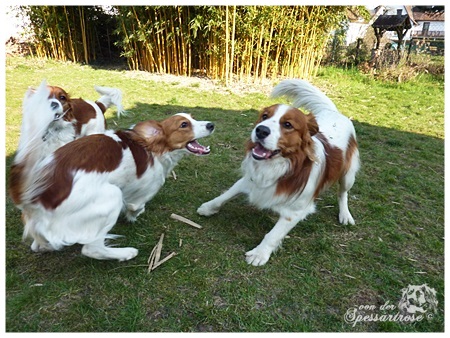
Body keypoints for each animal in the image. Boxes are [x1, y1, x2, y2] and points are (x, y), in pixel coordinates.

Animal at [9, 82, 214, 262]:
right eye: (184, 125)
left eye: (193, 118)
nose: (211, 124)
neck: (153, 148)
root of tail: (35, 197)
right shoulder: (144, 191)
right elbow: (135, 207)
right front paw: (134, 215)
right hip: (111, 195)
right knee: (92, 249)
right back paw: (126, 253)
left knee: (38, 244)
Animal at [199, 79, 360, 266]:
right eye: (264, 116)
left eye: (288, 125)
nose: (261, 130)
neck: (279, 165)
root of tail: (334, 112)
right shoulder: (250, 180)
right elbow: (225, 195)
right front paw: (209, 207)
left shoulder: (296, 211)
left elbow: (273, 234)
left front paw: (259, 253)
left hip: (348, 176)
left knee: (343, 193)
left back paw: (345, 214)